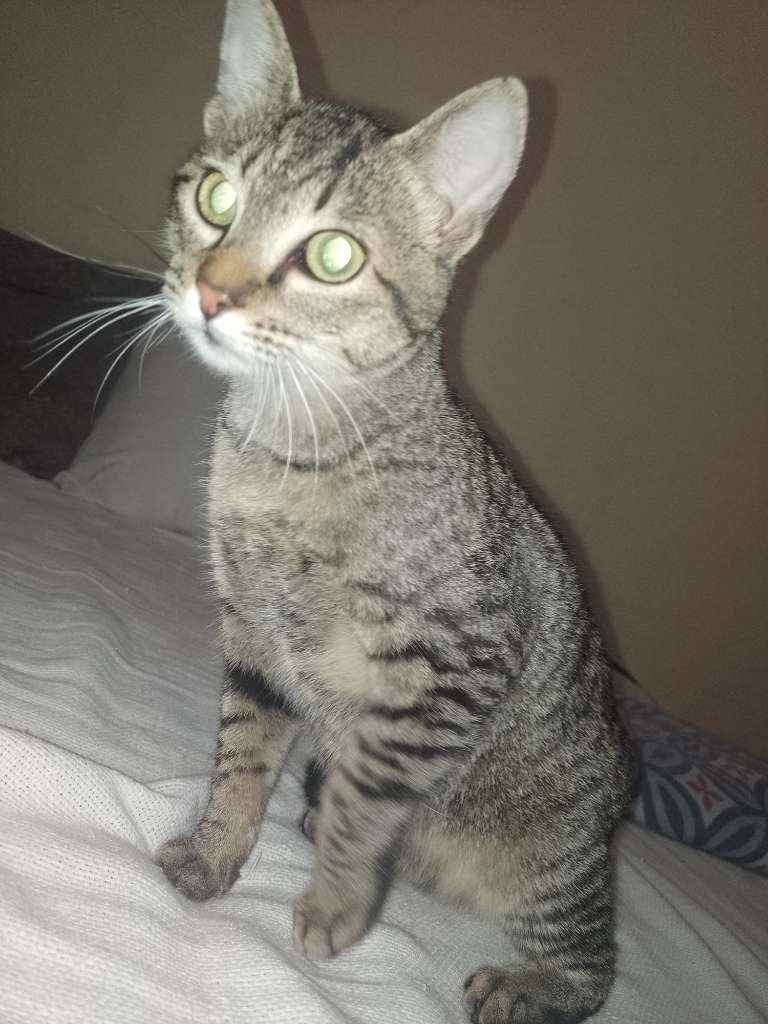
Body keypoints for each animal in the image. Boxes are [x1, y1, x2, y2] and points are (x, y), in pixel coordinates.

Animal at [156, 2, 633, 1022]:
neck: (287, 452)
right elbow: (239, 759)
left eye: (333, 255)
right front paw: (217, 855)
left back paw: (522, 986)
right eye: (216, 198)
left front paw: (333, 906)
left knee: (592, 963)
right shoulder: (252, 639)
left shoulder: (447, 670)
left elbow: (364, 800)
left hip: (546, 862)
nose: (211, 290)